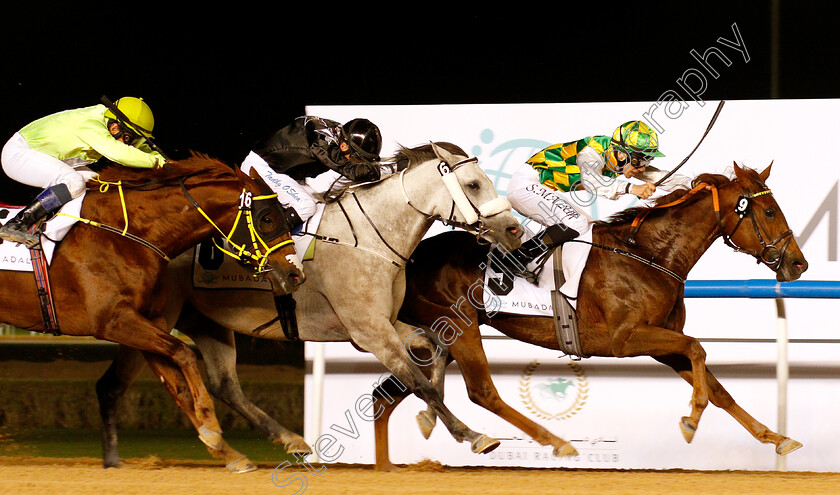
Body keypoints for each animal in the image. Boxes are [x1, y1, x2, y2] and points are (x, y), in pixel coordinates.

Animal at [0, 155, 302, 472]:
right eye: (267, 218)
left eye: (285, 215)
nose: (294, 273)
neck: (127, 235)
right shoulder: (113, 320)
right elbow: (184, 352)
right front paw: (210, 424)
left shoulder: (149, 320)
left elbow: (176, 382)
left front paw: (226, 450)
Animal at [374, 165, 808, 470]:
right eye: (770, 211)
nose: (798, 264)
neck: (650, 256)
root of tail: (408, 258)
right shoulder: (626, 339)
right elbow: (698, 348)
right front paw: (691, 420)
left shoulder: (662, 342)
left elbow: (717, 386)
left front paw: (776, 438)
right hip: (460, 326)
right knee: (481, 391)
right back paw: (552, 442)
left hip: (439, 337)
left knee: (390, 394)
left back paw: (388, 463)